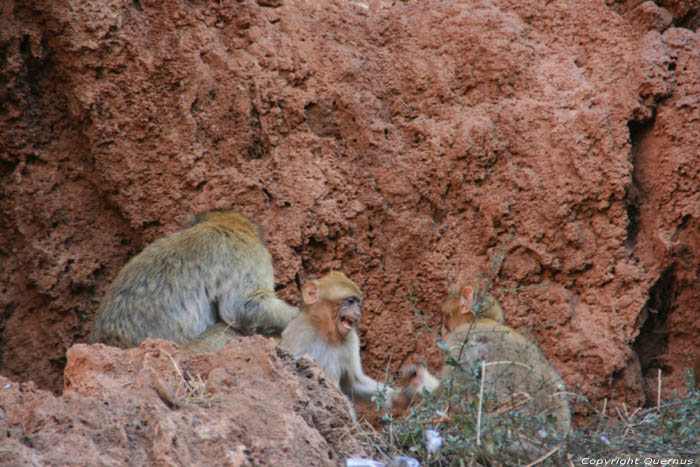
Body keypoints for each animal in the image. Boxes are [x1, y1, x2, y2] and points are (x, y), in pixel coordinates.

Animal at [278, 272, 400, 412]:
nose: (358, 311)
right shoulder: (299, 333)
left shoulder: (352, 339)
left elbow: (353, 383)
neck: (326, 333)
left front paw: (400, 396)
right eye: (351, 301)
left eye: (358, 303)